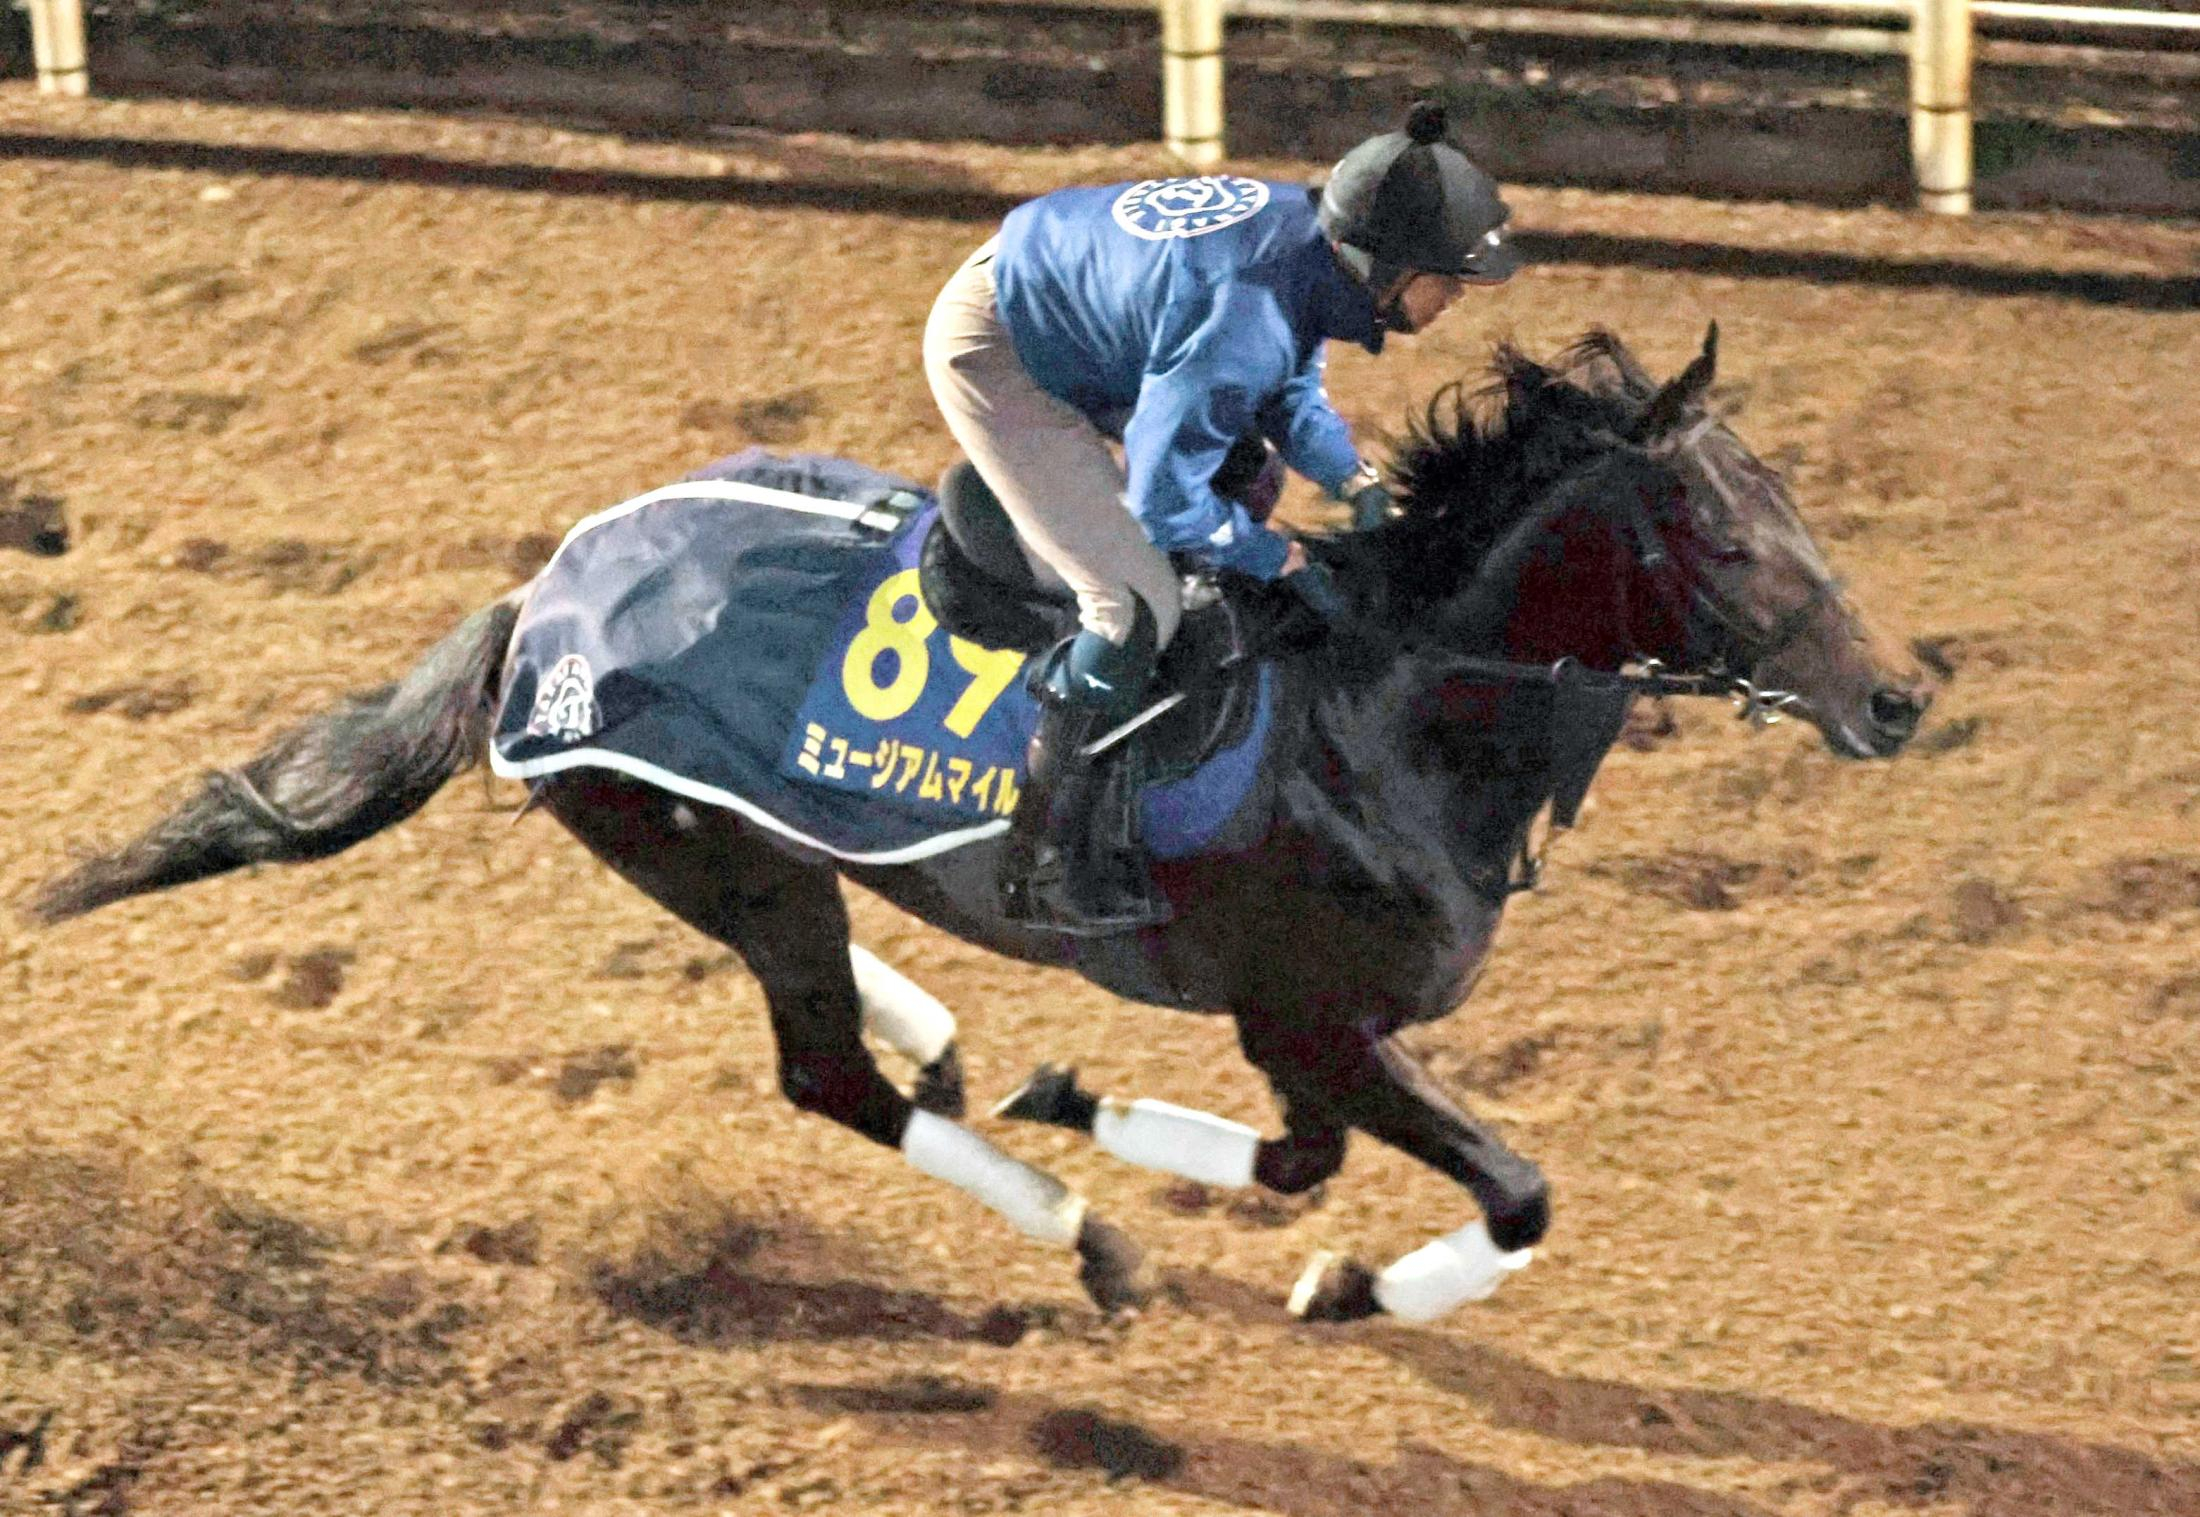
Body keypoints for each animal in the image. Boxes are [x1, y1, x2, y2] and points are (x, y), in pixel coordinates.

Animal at [31, 326, 1932, 1323]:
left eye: (1792, 499)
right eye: (1716, 527)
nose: (1901, 697)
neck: (1388, 708)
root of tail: (540, 601)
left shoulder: (1305, 1032)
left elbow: (1302, 1162)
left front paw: (1077, 1093)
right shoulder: (1301, 1012)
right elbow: (1513, 1190)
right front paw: (1347, 1285)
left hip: (756, 851)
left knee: (852, 992)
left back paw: (955, 1045)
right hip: (703, 846)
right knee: (824, 1074)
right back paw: (1077, 1231)